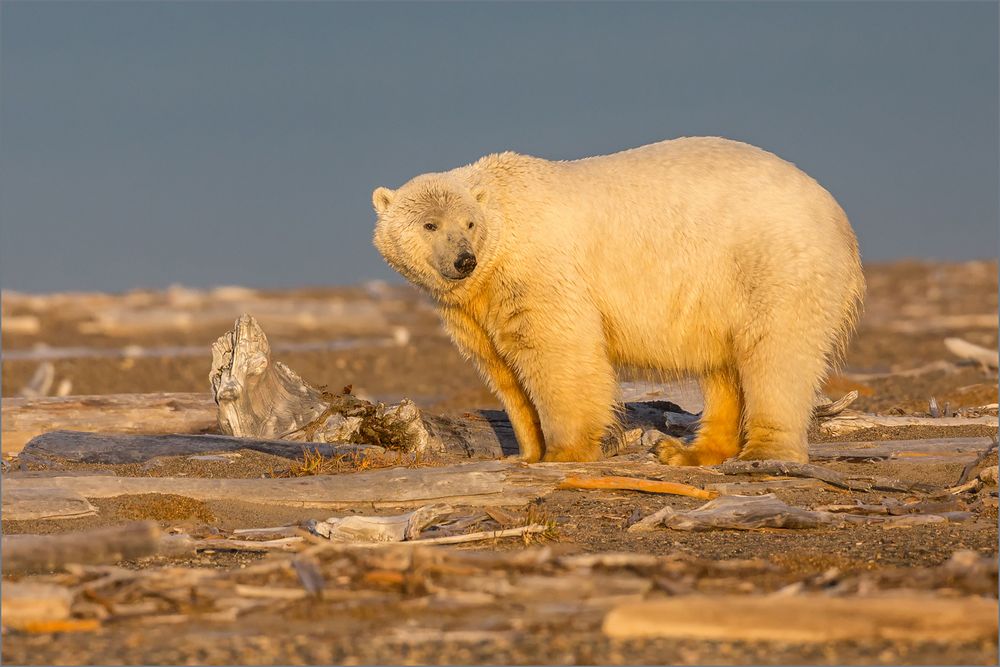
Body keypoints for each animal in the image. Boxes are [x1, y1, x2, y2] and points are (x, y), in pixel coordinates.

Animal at [372, 138, 864, 464]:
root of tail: (838, 214)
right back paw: (688, 451)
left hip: (774, 261)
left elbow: (557, 350)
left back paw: (763, 452)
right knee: (725, 367)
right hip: (723, 287)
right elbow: (501, 367)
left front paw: (563, 452)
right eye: (430, 225)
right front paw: (526, 452)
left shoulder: (538, 270)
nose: (463, 260)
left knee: (776, 353)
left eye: (469, 223)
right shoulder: (474, 304)